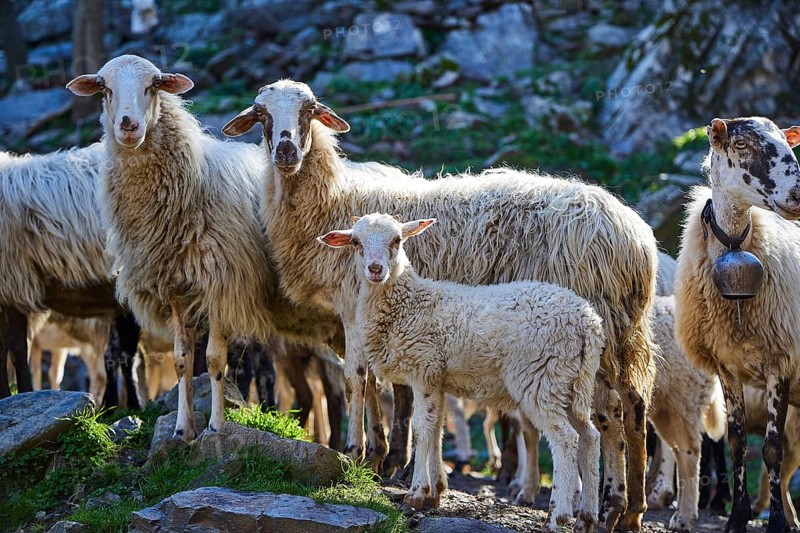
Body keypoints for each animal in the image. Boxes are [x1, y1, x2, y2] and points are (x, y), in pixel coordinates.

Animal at [67, 55, 343, 441]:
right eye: (104, 88)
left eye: (153, 85)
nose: (128, 126)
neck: (194, 182)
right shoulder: (177, 290)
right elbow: (182, 361)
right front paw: (183, 429)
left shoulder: (223, 285)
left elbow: (213, 361)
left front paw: (215, 426)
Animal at [319, 213, 604, 532]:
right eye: (356, 242)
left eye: (397, 240)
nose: (375, 269)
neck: (408, 303)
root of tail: (587, 321)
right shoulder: (437, 379)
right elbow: (437, 430)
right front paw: (435, 492)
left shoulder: (424, 369)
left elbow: (422, 430)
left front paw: (416, 494)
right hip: (572, 383)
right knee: (590, 438)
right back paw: (587, 517)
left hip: (542, 377)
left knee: (566, 440)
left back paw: (558, 516)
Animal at [674, 116, 800, 533]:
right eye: (742, 144)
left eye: (788, 144)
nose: (798, 194)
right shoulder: (726, 368)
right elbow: (737, 444)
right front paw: (737, 518)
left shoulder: (781, 362)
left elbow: (773, 450)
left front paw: (775, 522)